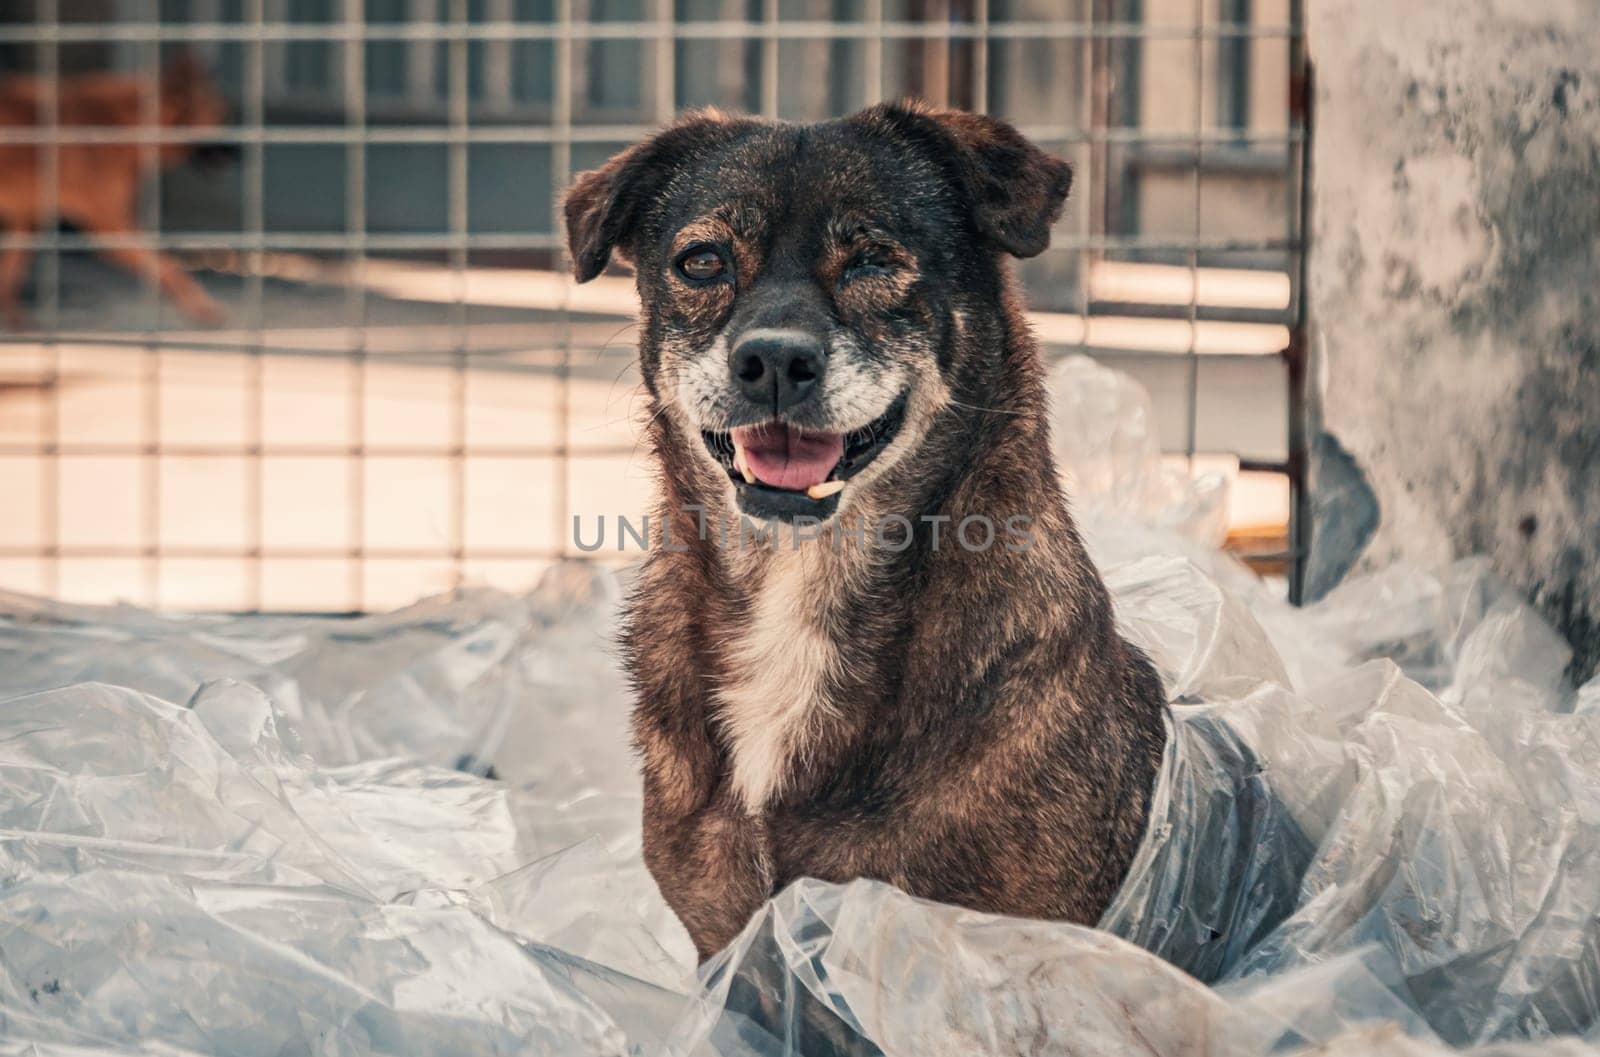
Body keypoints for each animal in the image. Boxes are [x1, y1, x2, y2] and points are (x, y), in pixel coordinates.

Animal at [0, 52, 232, 326]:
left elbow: (10, 271)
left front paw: (14, 320)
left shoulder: (30, 220)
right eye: (220, 115)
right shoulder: (110, 224)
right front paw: (200, 305)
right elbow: (165, 265)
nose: (241, 154)